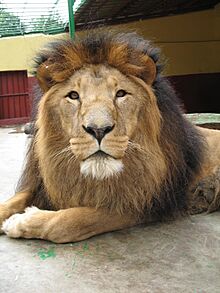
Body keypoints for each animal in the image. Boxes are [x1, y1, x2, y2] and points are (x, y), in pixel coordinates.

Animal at [0, 31, 220, 242]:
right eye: (73, 96)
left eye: (120, 94)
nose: (98, 129)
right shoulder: (42, 184)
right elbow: (13, 201)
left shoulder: (145, 201)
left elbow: (71, 221)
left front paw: (20, 221)